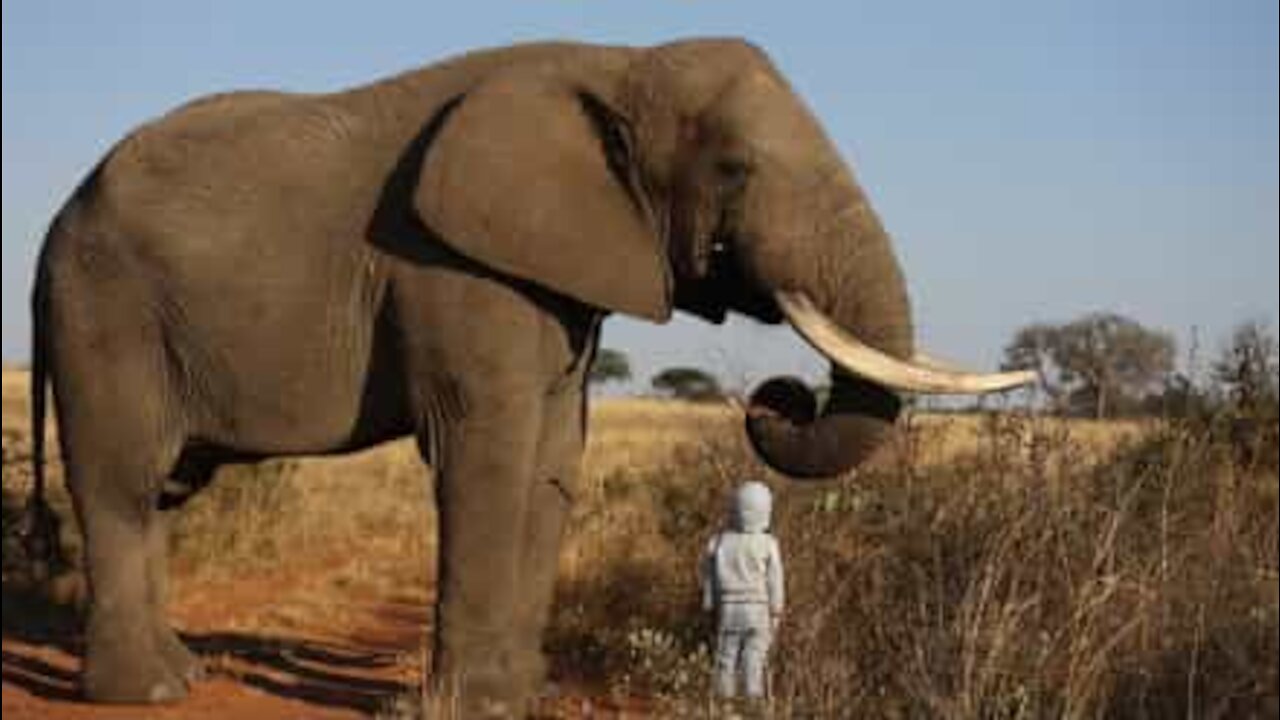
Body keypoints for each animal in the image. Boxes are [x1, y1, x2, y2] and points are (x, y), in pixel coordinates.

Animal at [24, 37, 1034, 712]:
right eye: (735, 168)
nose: (774, 398)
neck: (622, 60)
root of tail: (52, 227)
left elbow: (553, 459)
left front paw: (524, 694)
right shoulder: (456, 269)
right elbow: (489, 454)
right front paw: (471, 707)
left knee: (159, 493)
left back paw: (182, 675)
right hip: (104, 310)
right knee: (121, 485)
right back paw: (147, 694)